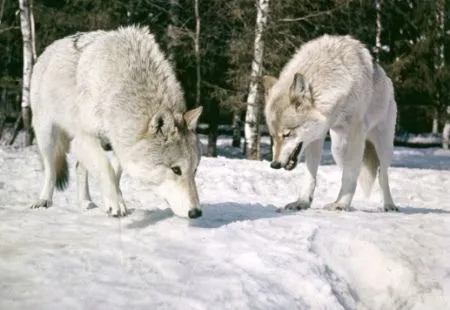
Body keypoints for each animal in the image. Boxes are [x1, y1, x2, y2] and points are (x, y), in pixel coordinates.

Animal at [32, 26, 206, 219]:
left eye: (195, 170)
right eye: (176, 170)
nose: (196, 213)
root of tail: (51, 47)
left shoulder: (119, 143)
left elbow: (114, 175)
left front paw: (116, 201)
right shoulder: (86, 137)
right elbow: (105, 168)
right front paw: (116, 204)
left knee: (79, 168)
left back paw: (86, 203)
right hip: (46, 135)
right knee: (50, 170)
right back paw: (43, 200)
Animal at [264, 34, 398, 213]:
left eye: (287, 134)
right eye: (272, 137)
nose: (274, 164)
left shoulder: (356, 133)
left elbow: (351, 174)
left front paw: (342, 204)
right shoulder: (316, 137)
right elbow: (311, 176)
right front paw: (302, 202)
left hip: (382, 148)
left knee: (382, 175)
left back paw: (388, 205)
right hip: (338, 150)